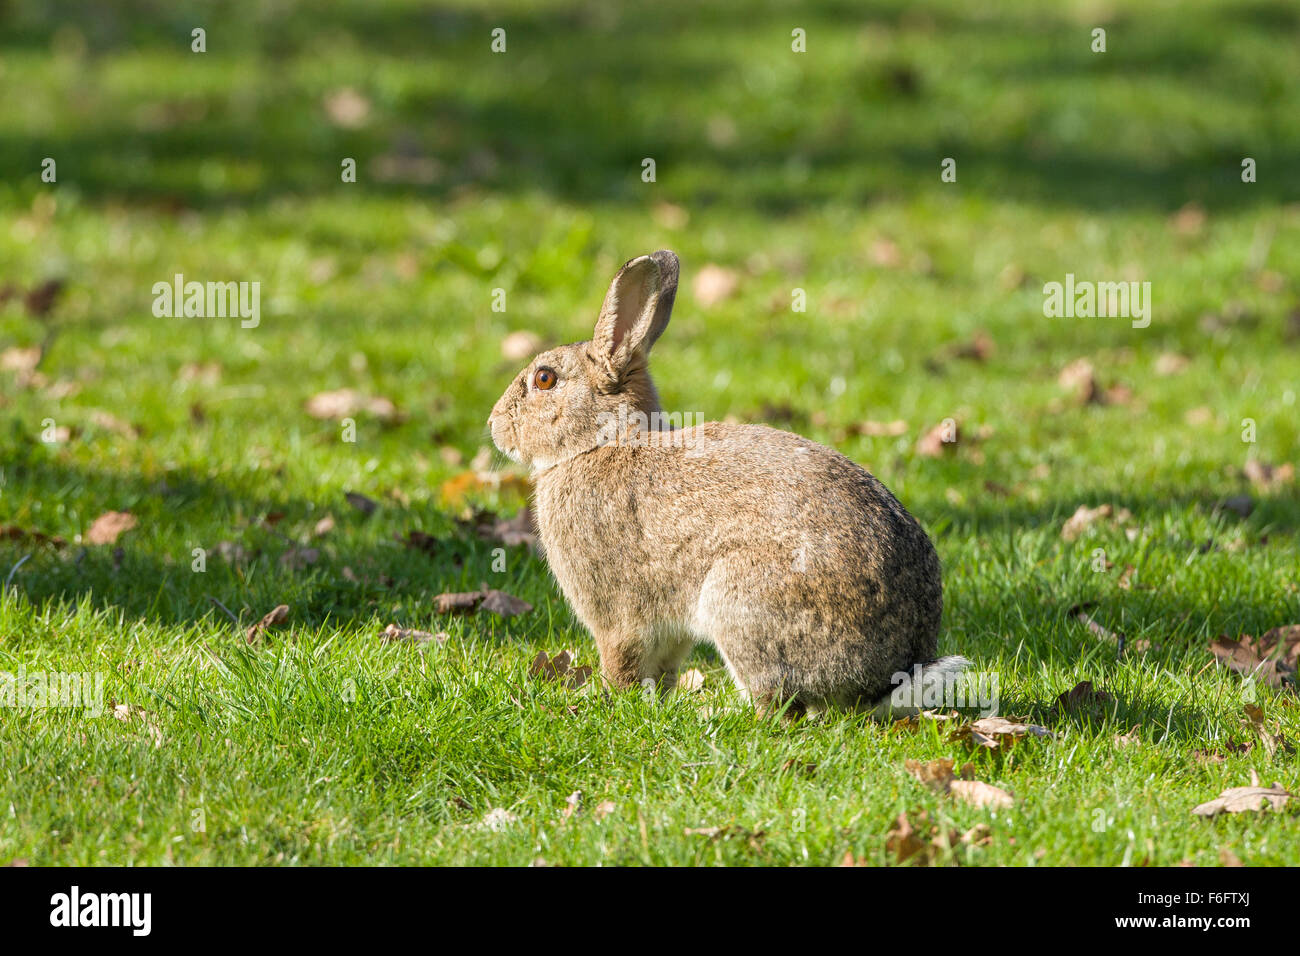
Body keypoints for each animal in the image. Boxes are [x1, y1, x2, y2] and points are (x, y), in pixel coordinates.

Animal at [488, 251, 967, 712]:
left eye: (544, 378)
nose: (494, 426)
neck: (602, 442)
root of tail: (885, 678)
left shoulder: (615, 615)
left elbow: (621, 661)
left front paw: (606, 697)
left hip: (738, 599)